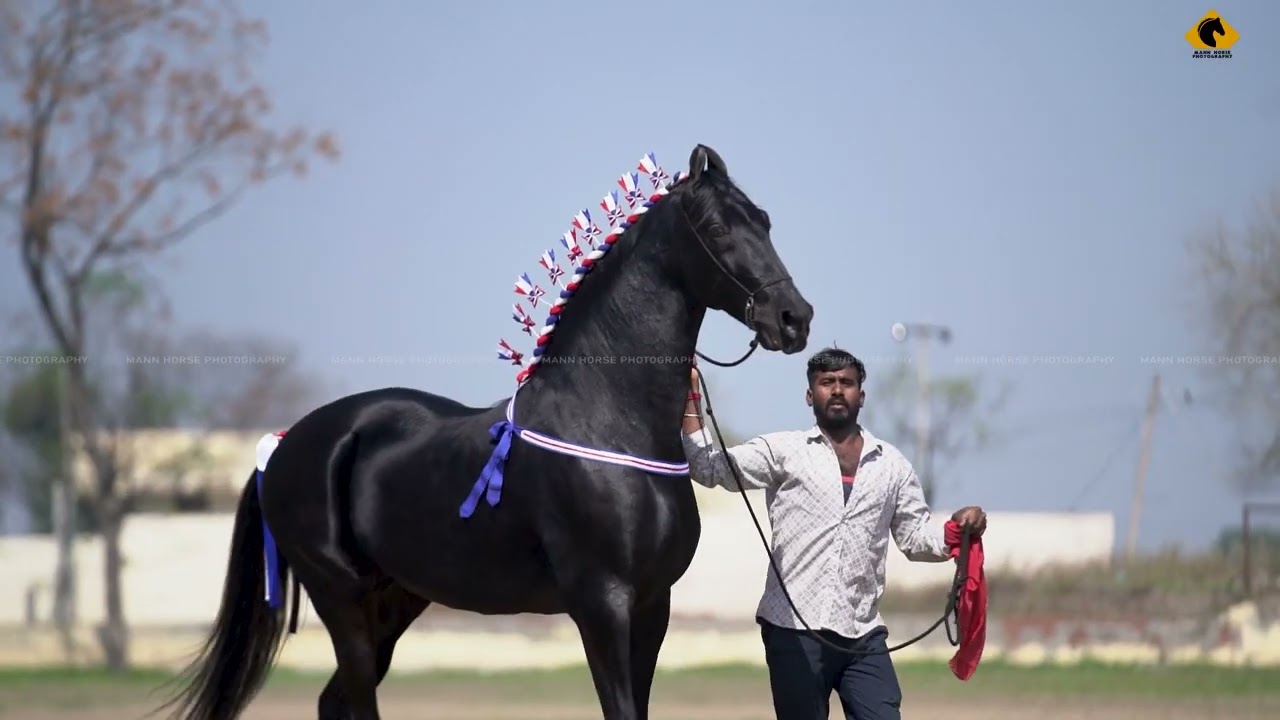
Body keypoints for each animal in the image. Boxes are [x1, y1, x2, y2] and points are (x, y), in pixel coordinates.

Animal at [158, 144, 815, 720]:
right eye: (719, 228)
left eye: (765, 222)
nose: (794, 319)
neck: (608, 426)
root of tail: (285, 445)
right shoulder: (602, 604)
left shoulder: (654, 605)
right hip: (341, 599)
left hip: (395, 600)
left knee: (334, 701)